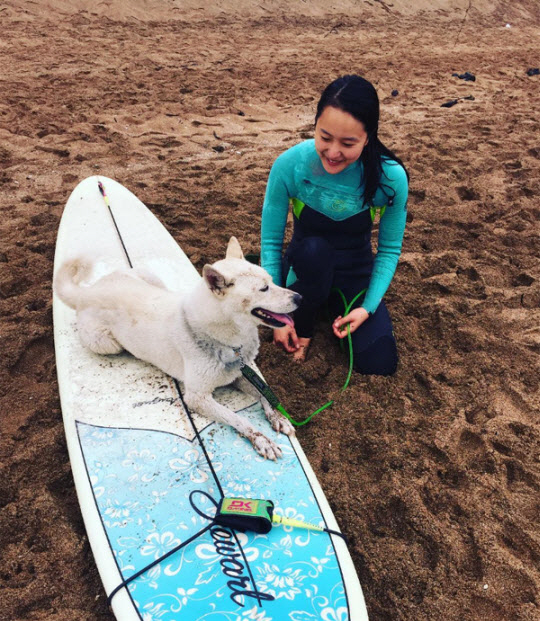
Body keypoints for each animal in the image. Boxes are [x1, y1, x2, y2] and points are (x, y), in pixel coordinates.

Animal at [54, 237, 302, 460]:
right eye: (264, 289)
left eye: (271, 280)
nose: (300, 297)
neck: (224, 339)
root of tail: (88, 291)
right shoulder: (197, 397)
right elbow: (239, 418)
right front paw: (261, 439)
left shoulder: (241, 374)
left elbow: (265, 395)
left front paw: (278, 417)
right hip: (106, 343)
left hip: (151, 278)